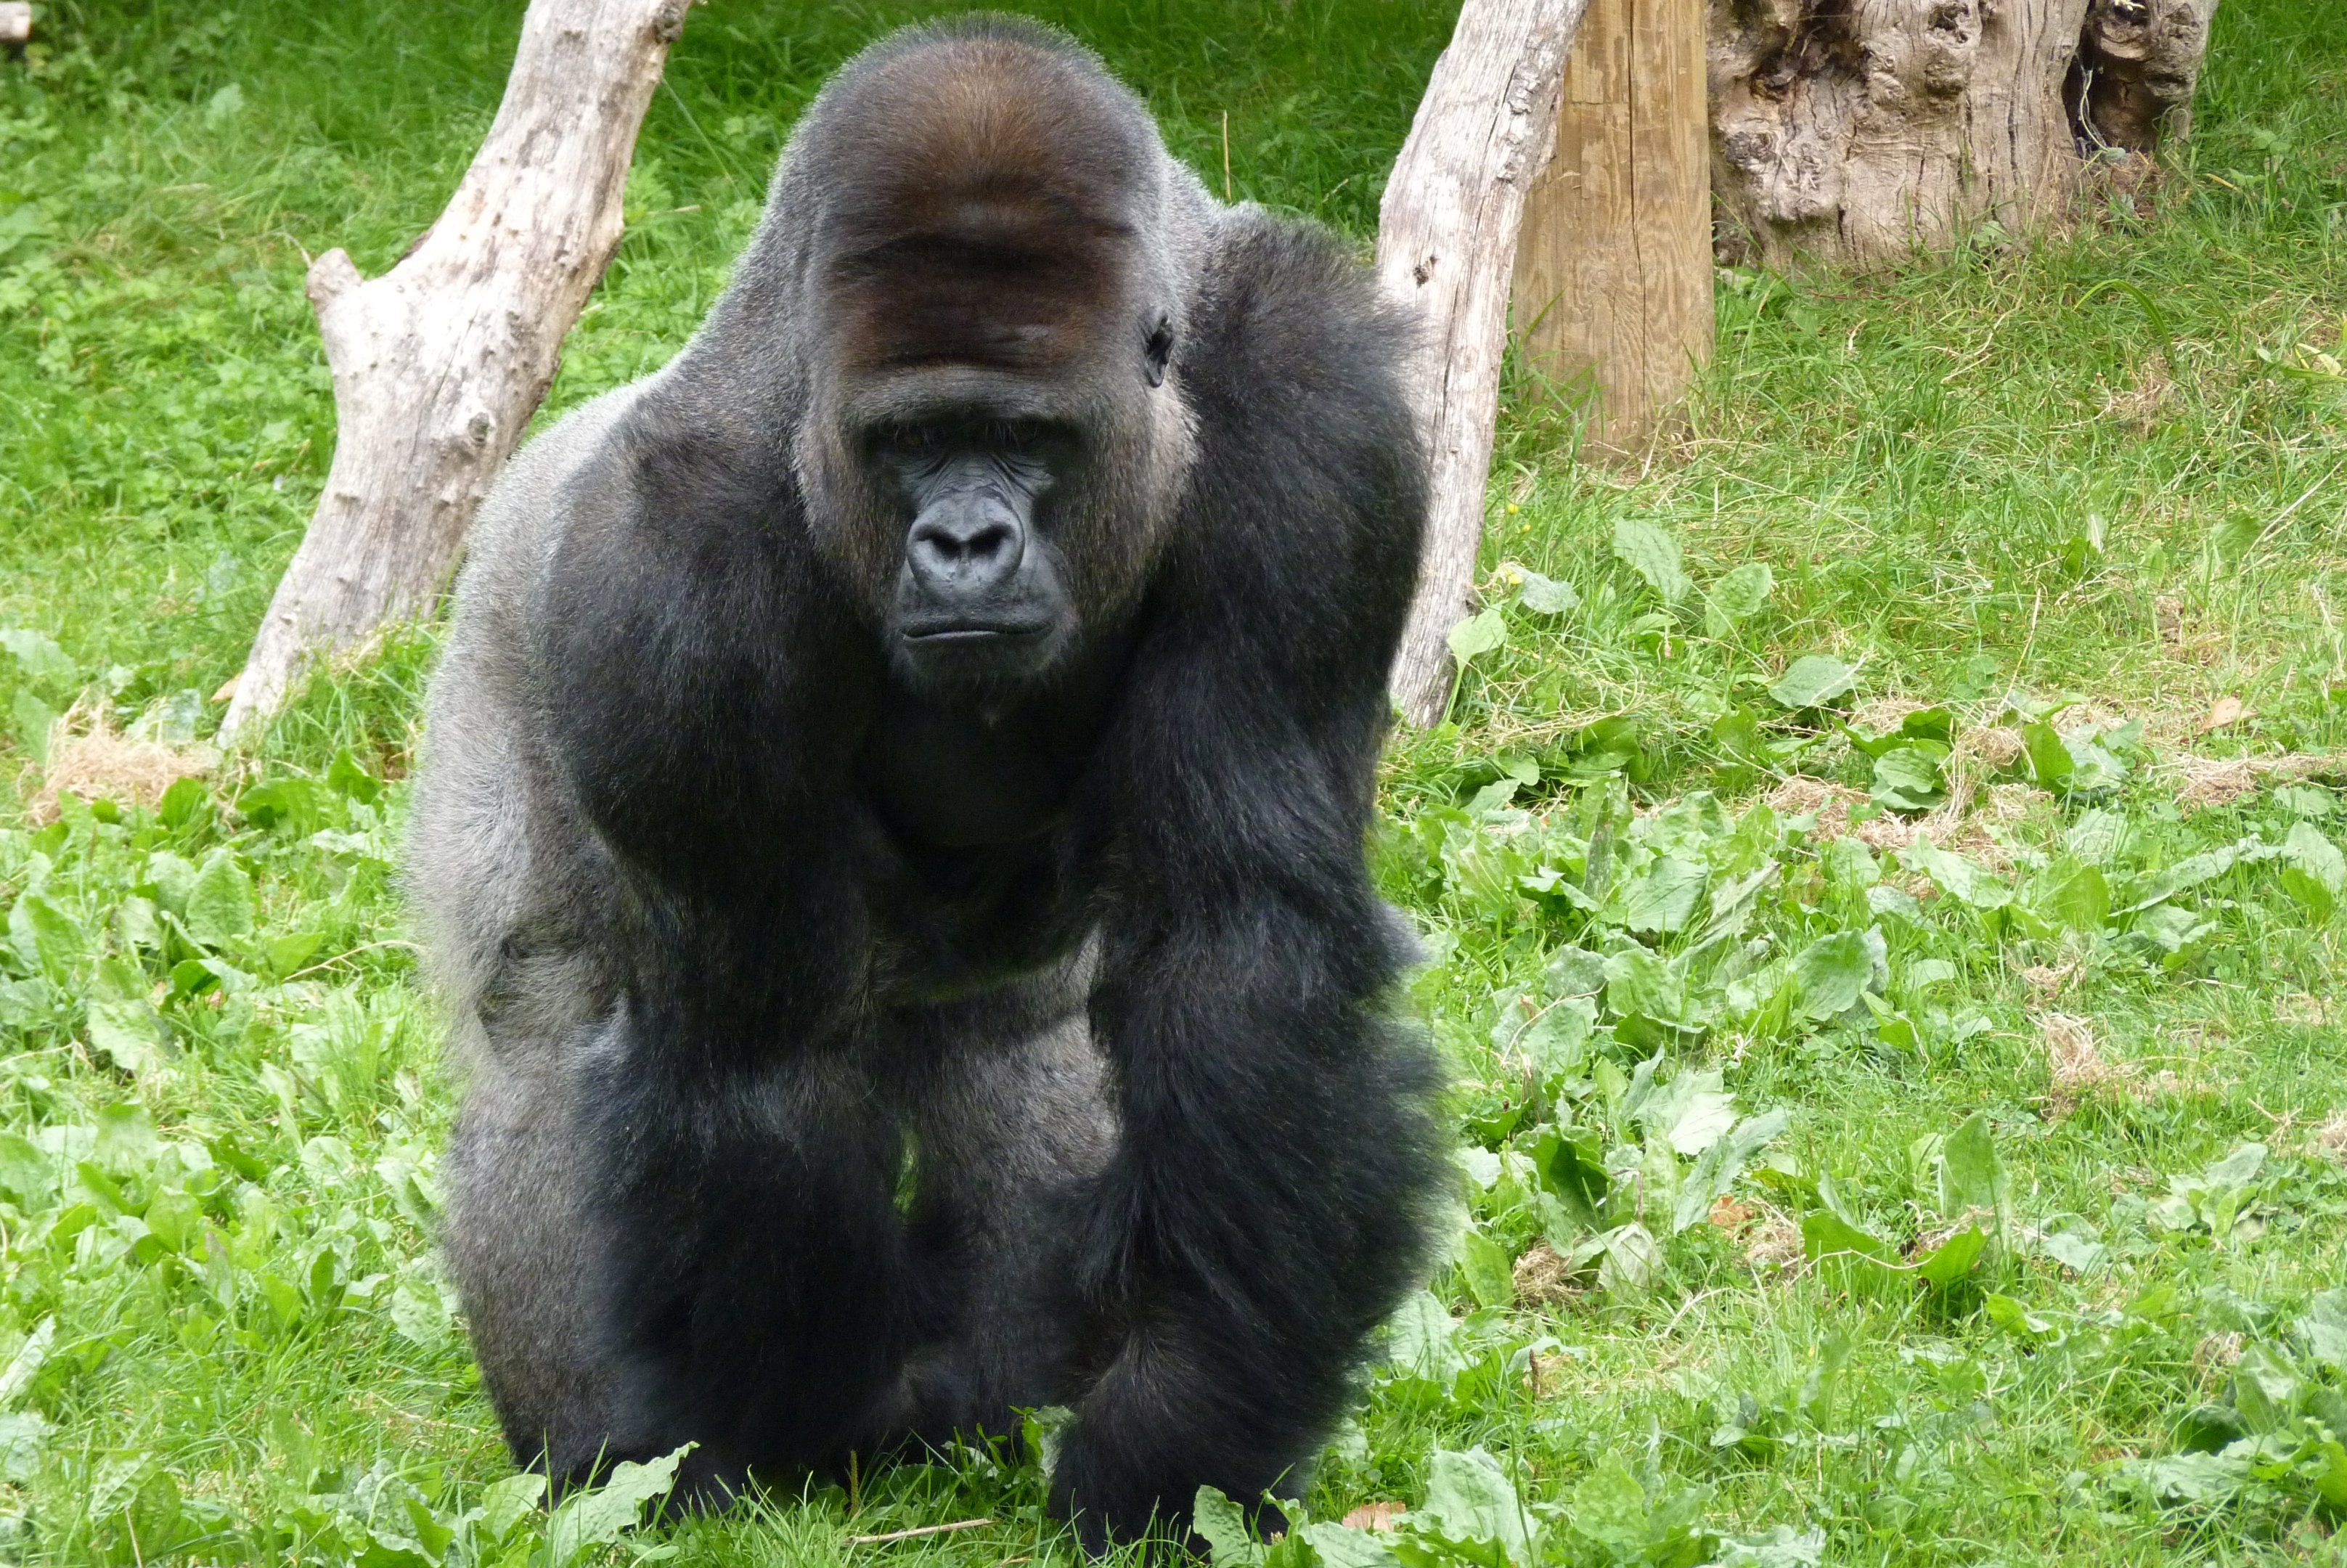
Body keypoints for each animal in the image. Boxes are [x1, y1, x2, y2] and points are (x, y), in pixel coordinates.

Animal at [407, 15, 1443, 1553]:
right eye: (905, 442)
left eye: (1031, 438)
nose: (964, 542)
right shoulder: (660, 575)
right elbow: (757, 1046)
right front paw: (804, 1435)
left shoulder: (1320, 437)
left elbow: (1237, 949)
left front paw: (1176, 1428)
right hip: (492, 679)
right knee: (547, 1054)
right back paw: (618, 1456)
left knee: (1027, 1053)